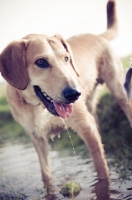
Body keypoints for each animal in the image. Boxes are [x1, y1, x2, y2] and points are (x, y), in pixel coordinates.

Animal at [0, 0, 131, 189]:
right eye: (41, 62)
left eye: (67, 59)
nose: (74, 94)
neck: (38, 108)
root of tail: (97, 35)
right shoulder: (37, 139)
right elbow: (46, 176)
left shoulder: (85, 125)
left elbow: (101, 169)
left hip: (119, 92)